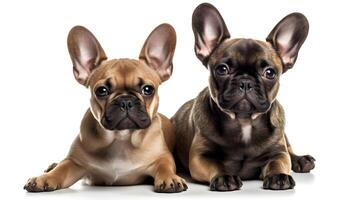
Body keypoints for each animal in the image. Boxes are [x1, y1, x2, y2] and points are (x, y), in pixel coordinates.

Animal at [24, 23, 186, 192]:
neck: (121, 138)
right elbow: (62, 168)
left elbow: (165, 166)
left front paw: (170, 178)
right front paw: (44, 178)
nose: (126, 101)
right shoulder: (75, 163)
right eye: (101, 91)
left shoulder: (162, 157)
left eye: (148, 89)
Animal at [172, 3, 314, 191]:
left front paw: (278, 176)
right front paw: (224, 177)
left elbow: (279, 162)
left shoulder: (278, 153)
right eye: (222, 69)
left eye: (270, 73)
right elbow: (216, 165)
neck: (244, 121)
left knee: (290, 151)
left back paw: (302, 160)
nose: (245, 82)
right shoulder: (200, 157)